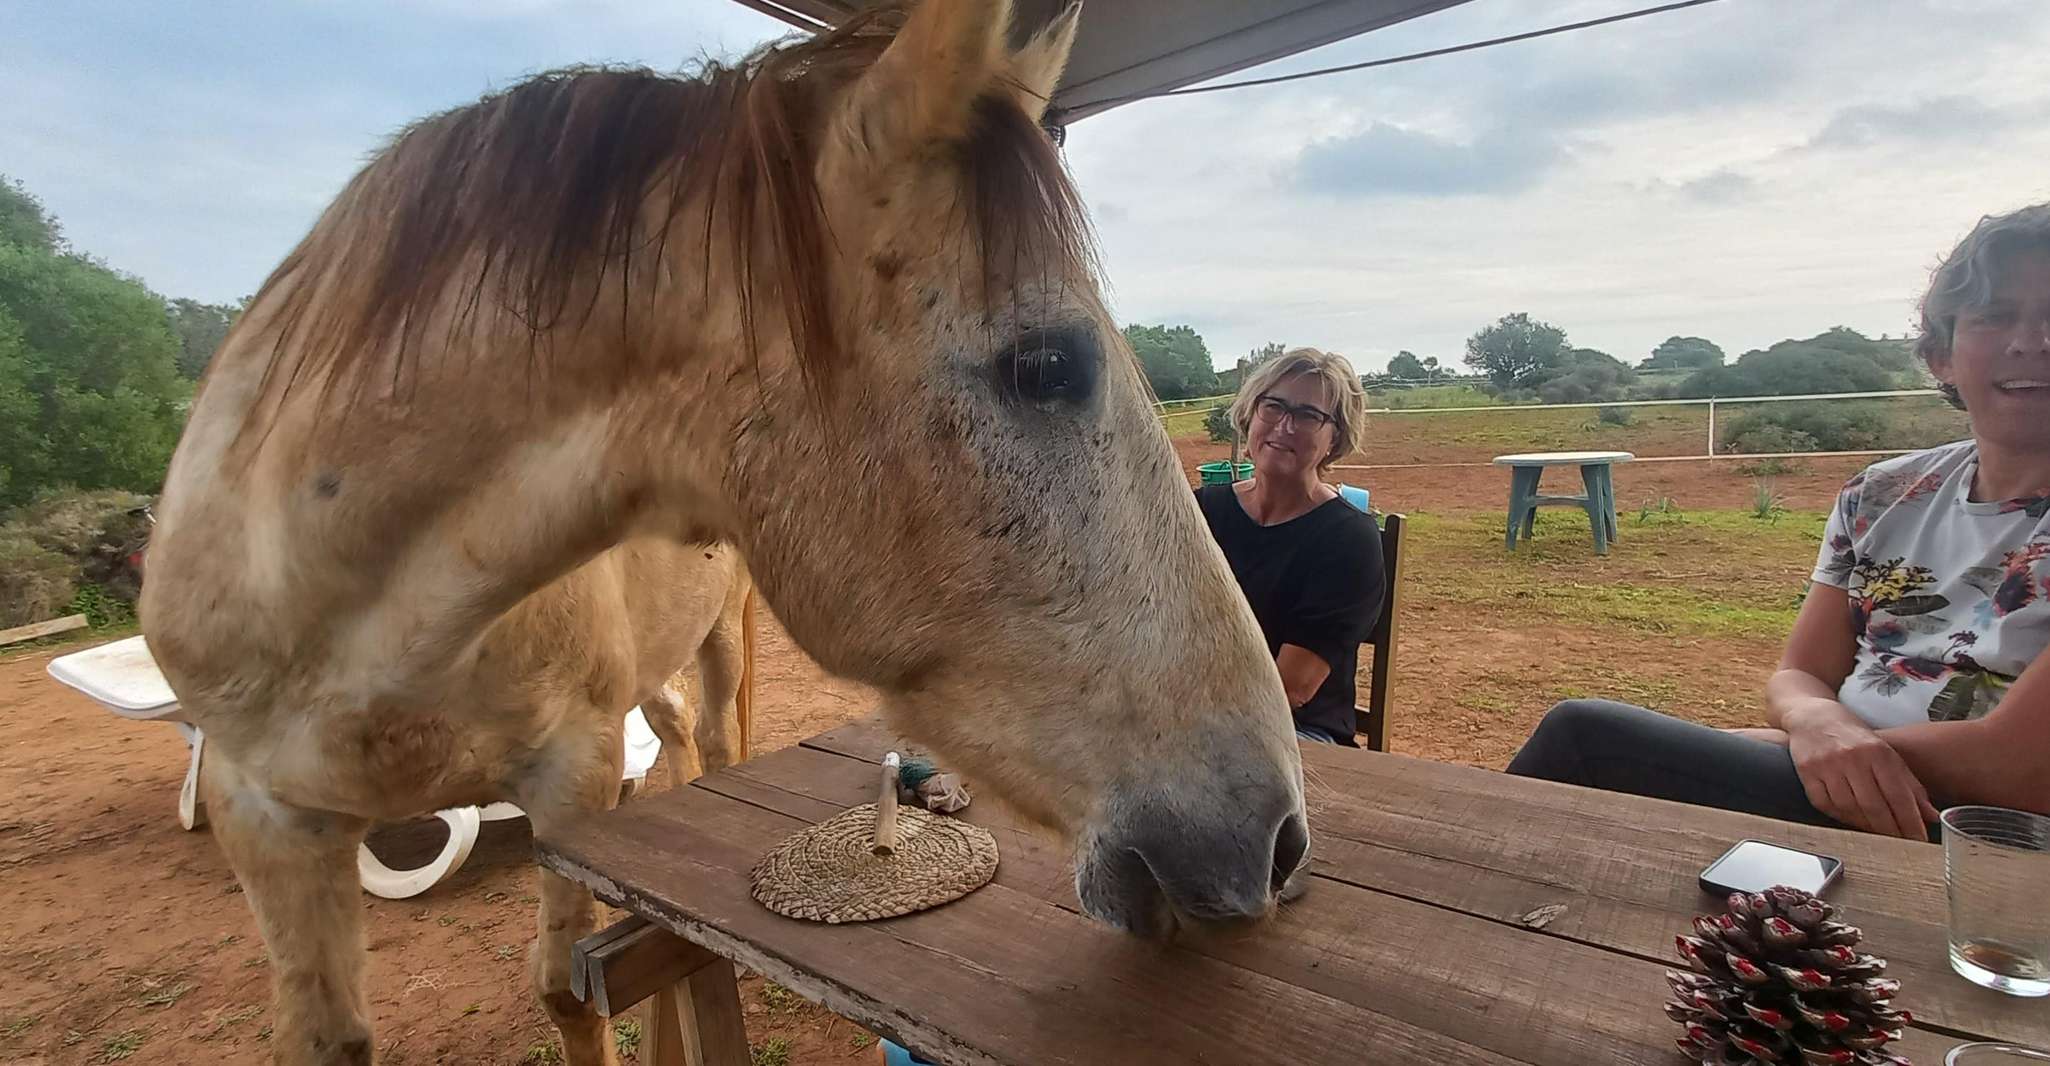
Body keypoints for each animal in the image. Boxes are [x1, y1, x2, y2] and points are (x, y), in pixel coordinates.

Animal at [137, 2, 1308, 1063]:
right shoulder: (263, 814)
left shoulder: (571, 772)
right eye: (1047, 365)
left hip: (712, 651)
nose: (1279, 838)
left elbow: (570, 991)